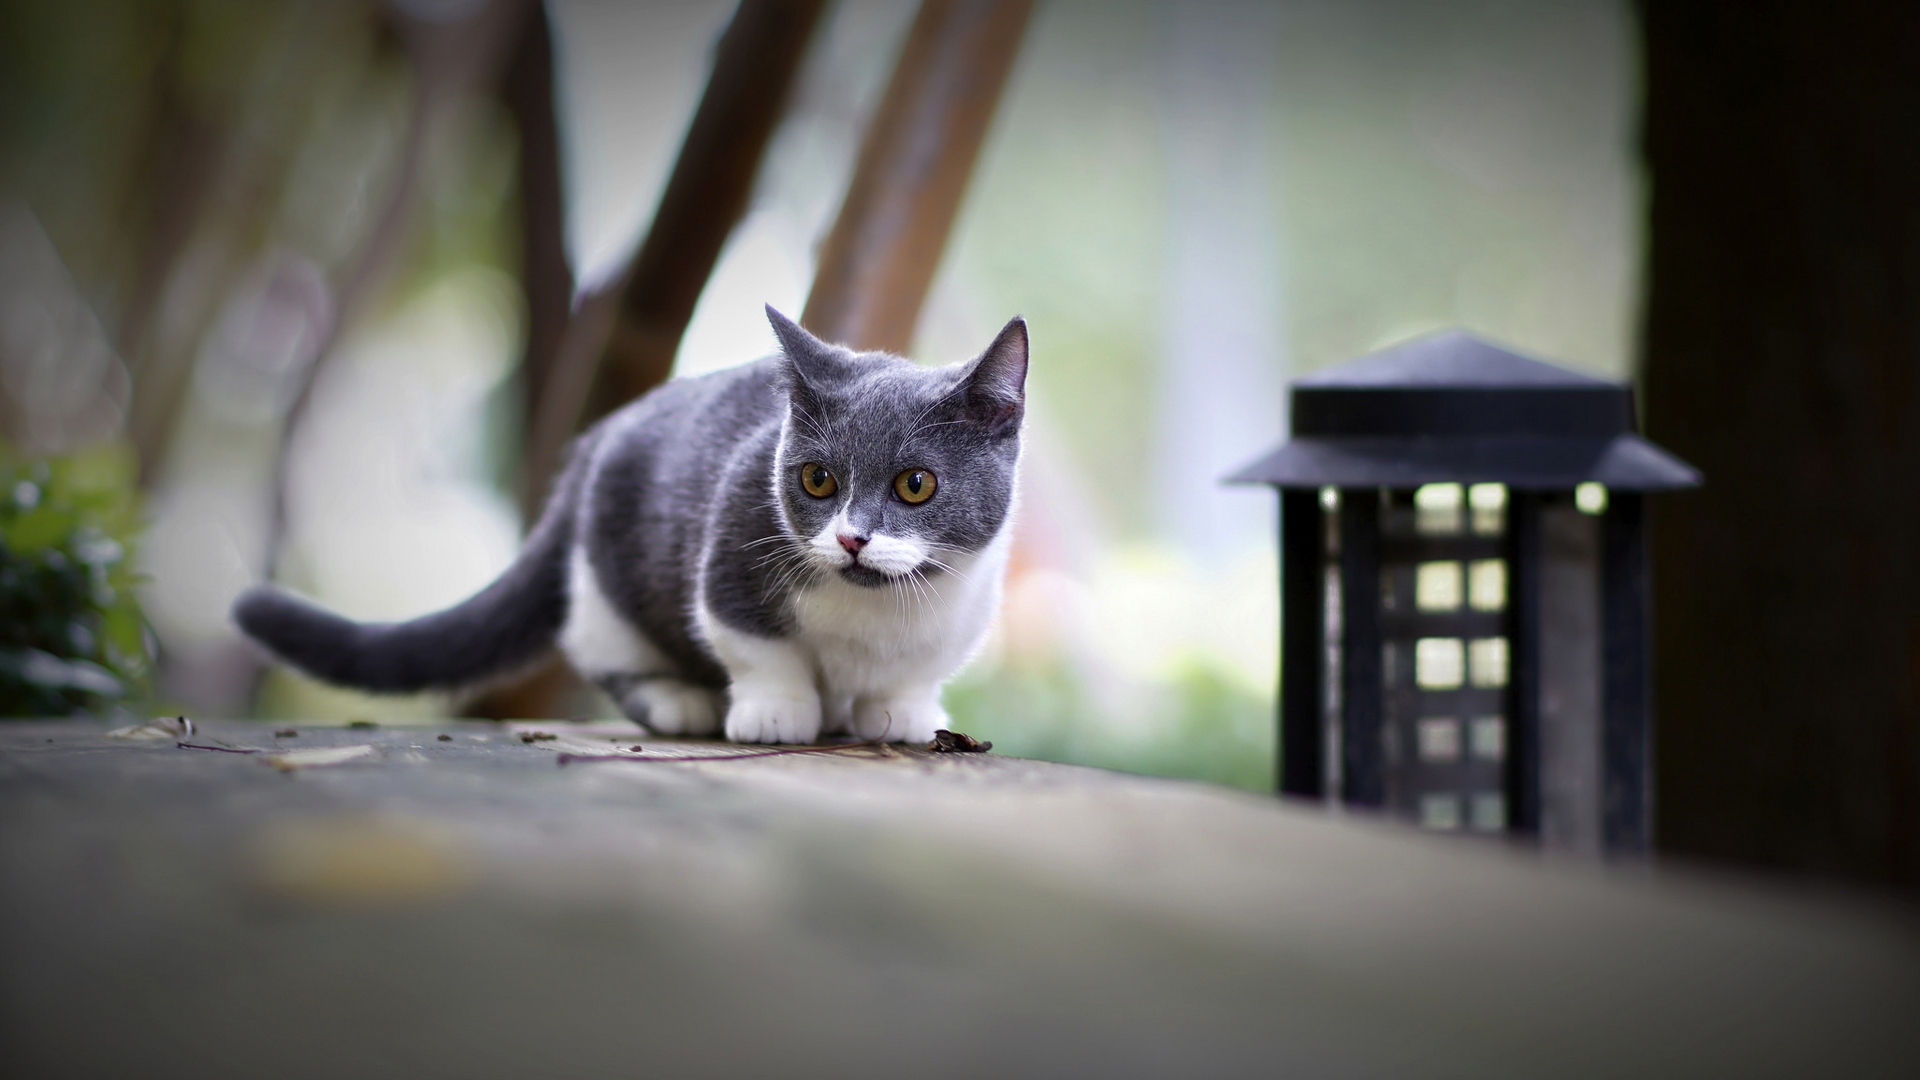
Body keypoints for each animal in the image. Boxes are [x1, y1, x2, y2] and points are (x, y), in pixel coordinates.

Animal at [232, 303, 1029, 737]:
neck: (874, 613)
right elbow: (758, 646)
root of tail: (597, 437)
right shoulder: (731, 551)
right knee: (605, 650)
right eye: (817, 479)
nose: (851, 536)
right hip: (606, 582)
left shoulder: (962, 611)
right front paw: (777, 708)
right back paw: (681, 700)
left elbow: (910, 676)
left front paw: (902, 712)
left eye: (916, 484)